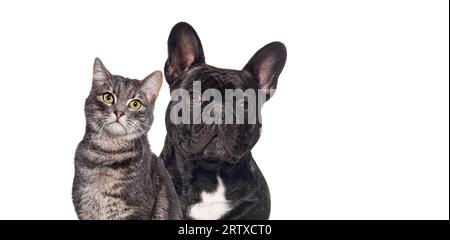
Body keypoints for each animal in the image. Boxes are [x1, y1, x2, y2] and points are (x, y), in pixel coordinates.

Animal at [72, 57, 181, 219]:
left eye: (135, 104)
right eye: (108, 97)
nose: (119, 112)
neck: (108, 154)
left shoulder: (135, 209)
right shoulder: (84, 207)